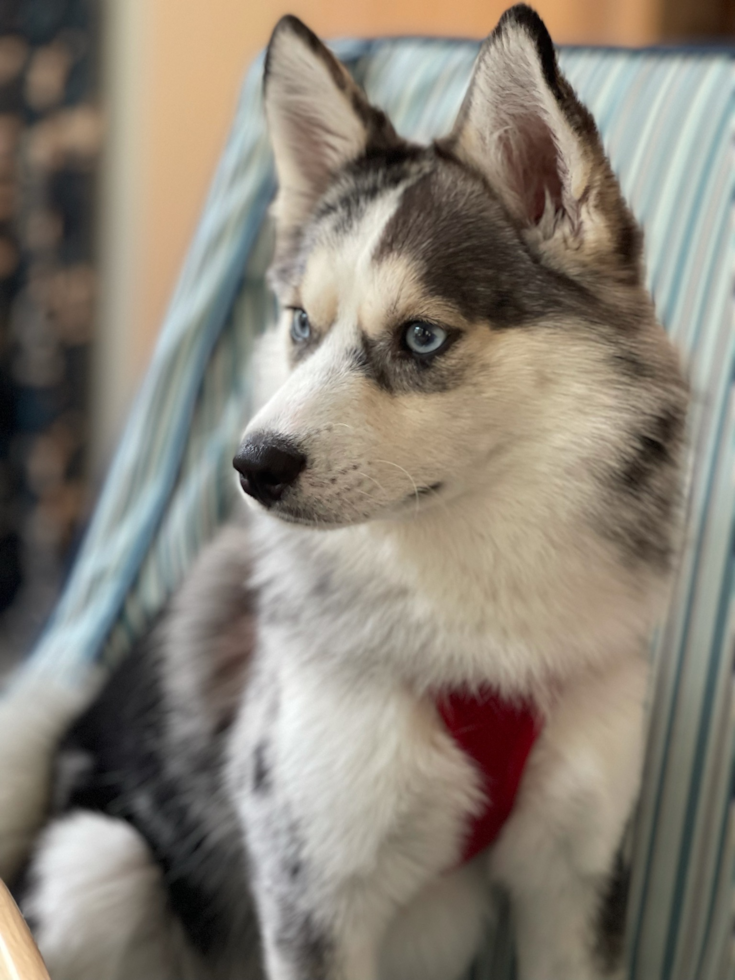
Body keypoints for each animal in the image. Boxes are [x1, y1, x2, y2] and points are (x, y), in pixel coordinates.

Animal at [15, 7, 688, 980]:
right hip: (95, 863)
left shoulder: (576, 874)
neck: (477, 629)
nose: (252, 466)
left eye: (420, 337)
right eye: (302, 323)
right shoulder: (313, 888)